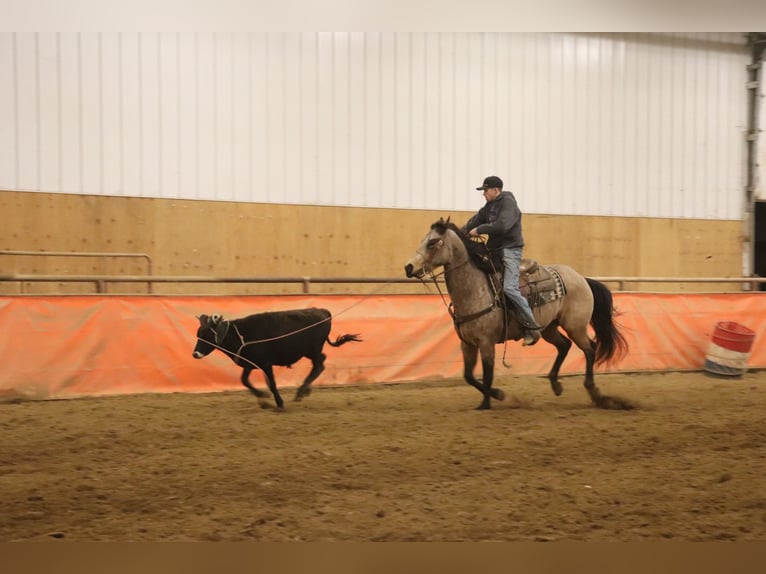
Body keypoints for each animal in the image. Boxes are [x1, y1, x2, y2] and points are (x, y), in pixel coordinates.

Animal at [404, 218, 632, 412]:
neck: (476, 289)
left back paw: (593, 390)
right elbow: (469, 376)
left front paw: (488, 403)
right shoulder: (467, 343)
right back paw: (555, 384)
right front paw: (496, 395)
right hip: (548, 328)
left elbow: (487, 375)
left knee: (590, 349)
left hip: (575, 326)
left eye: (433, 242)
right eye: (424, 240)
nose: (408, 267)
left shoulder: (486, 342)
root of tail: (582, 278)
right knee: (564, 346)